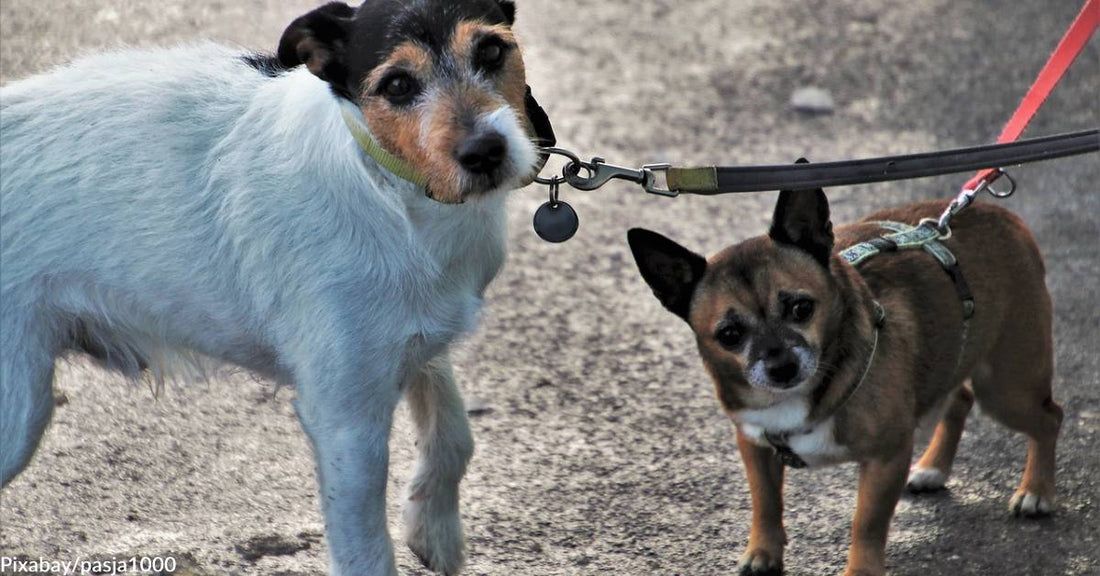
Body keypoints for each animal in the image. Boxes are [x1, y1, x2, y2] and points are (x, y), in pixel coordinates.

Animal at [0, 1, 550, 576]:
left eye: (491, 50)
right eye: (398, 85)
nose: (484, 152)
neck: (390, 186)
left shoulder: (415, 341)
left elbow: (453, 434)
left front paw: (434, 529)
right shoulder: (345, 420)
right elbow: (366, 551)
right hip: (16, 411)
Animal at [633, 190, 1060, 576]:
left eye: (801, 308)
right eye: (729, 335)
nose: (782, 367)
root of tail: (1003, 215)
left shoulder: (886, 458)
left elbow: (866, 524)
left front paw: (860, 571)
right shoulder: (754, 445)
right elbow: (766, 503)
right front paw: (763, 553)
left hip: (1006, 389)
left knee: (1050, 417)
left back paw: (1036, 491)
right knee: (959, 399)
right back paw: (934, 468)